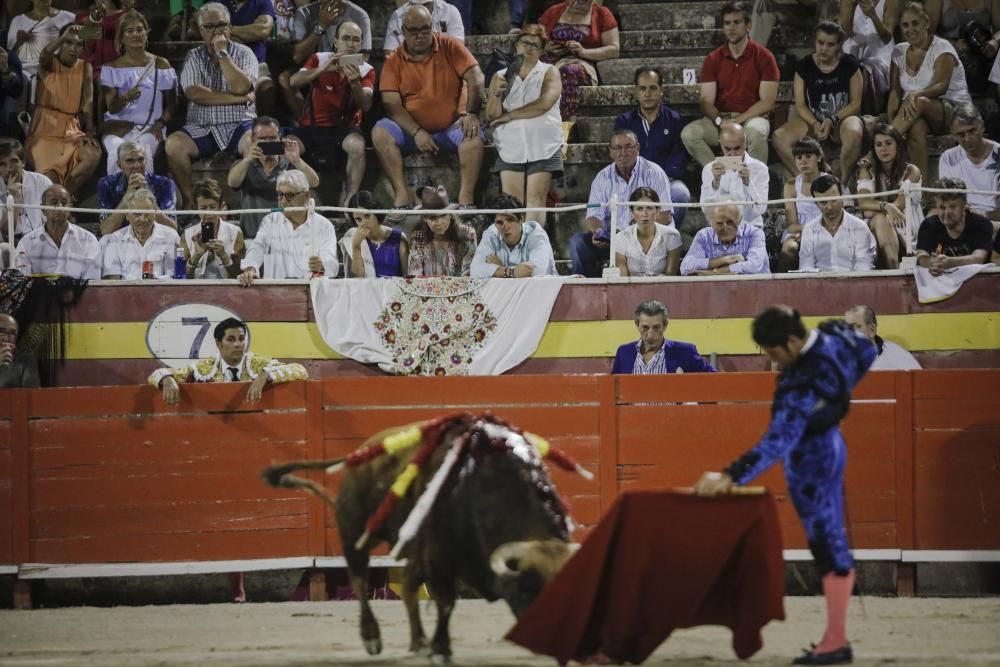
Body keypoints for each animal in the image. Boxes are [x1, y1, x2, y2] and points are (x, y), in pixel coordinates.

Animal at [262, 412, 584, 664]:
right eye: (528, 589)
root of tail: (364, 450)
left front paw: (435, 646)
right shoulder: (439, 555)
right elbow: (446, 602)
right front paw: (441, 650)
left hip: (414, 550)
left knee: (406, 588)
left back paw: (418, 641)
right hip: (356, 532)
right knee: (359, 579)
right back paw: (372, 636)